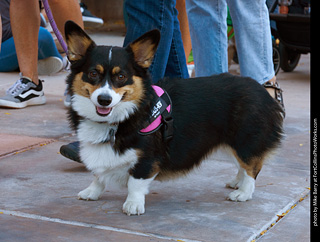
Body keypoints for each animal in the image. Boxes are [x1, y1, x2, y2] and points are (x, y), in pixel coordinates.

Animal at [64, 20, 282, 216]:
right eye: (93, 73)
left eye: (121, 77)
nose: (104, 99)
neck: (125, 115)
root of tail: (264, 91)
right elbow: (98, 175)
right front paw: (91, 192)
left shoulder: (147, 159)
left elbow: (135, 183)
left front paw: (133, 205)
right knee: (242, 165)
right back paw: (237, 182)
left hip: (245, 140)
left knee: (252, 166)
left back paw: (243, 192)